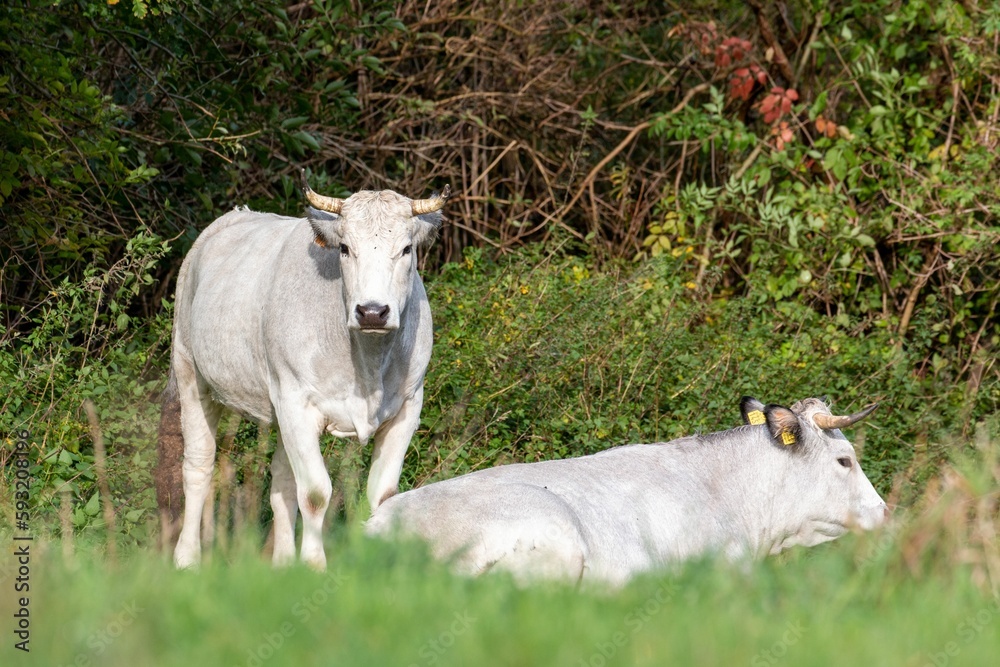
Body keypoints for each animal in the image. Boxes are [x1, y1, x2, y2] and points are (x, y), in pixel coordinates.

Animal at [156, 173, 451, 570]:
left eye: (406, 250)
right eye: (344, 249)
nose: (372, 312)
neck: (368, 365)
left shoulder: (408, 406)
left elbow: (382, 495)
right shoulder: (297, 401)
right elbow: (314, 493)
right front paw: (313, 566)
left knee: (281, 481)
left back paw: (281, 562)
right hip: (190, 372)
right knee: (198, 467)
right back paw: (187, 558)